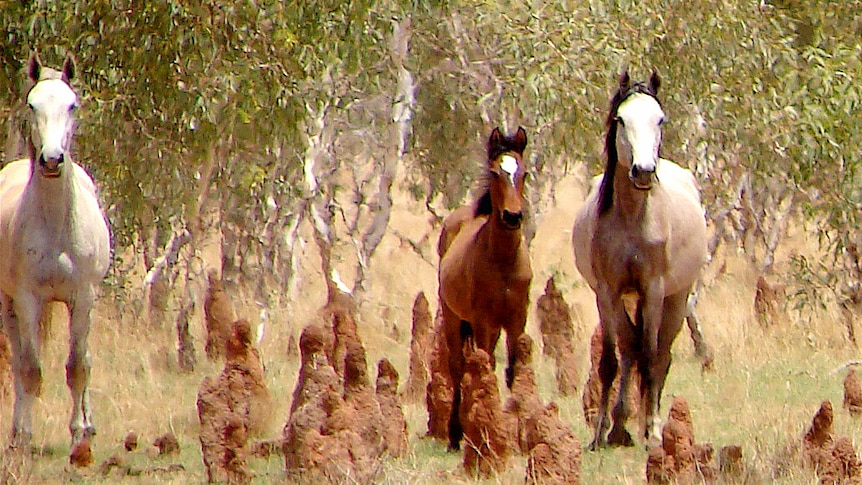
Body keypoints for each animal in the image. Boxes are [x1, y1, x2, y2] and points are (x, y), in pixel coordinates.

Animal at [0, 53, 111, 446]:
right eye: (32, 105)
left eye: (72, 105)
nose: (51, 159)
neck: (56, 227)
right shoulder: (27, 299)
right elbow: (30, 368)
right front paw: (25, 436)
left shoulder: (83, 296)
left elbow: (78, 366)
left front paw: (79, 432)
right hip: (9, 305)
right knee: (19, 359)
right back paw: (18, 428)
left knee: (87, 358)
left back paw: (90, 424)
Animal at [442, 125, 528, 450]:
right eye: (494, 172)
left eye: (524, 173)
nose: (513, 216)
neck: (503, 260)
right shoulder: (481, 321)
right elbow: (483, 369)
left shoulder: (515, 321)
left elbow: (513, 371)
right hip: (454, 318)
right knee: (457, 366)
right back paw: (455, 435)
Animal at [572, 72, 708, 450]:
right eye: (621, 119)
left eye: (659, 119)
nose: (644, 171)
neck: (633, 217)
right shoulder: (607, 291)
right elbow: (610, 361)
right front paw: (599, 432)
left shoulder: (653, 289)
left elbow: (650, 357)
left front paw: (653, 432)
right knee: (630, 346)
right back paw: (619, 425)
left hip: (676, 298)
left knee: (660, 356)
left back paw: (651, 426)